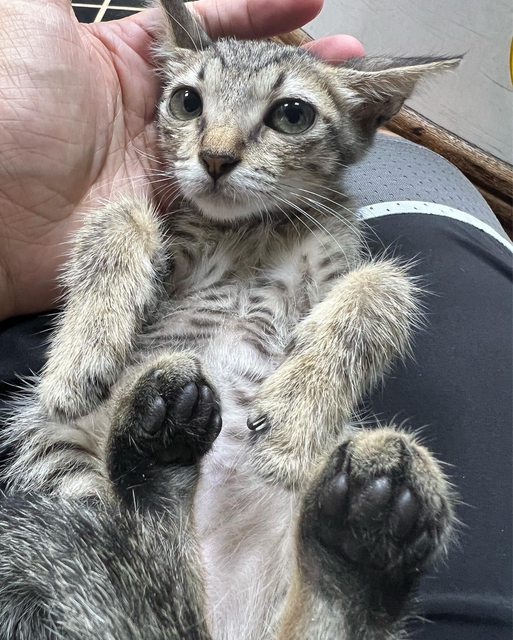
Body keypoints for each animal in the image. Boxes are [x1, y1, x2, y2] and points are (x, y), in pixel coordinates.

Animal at [0, 1, 460, 638]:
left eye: (292, 114)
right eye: (187, 101)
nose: (215, 158)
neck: (254, 229)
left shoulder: (337, 262)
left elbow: (385, 284)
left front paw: (298, 410)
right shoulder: (175, 248)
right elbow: (121, 216)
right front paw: (83, 351)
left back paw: (363, 541)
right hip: (62, 469)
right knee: (129, 544)